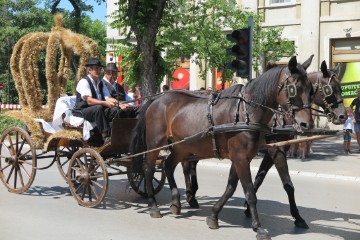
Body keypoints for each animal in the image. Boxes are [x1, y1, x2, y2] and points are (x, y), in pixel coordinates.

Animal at [131, 55, 314, 238]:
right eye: (294, 88)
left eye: (311, 89)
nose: (307, 124)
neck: (247, 112)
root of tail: (155, 99)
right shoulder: (244, 157)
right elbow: (250, 192)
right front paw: (258, 227)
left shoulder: (241, 158)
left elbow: (231, 187)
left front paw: (213, 216)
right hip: (155, 142)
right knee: (148, 168)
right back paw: (153, 205)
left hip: (182, 145)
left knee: (168, 165)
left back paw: (176, 202)